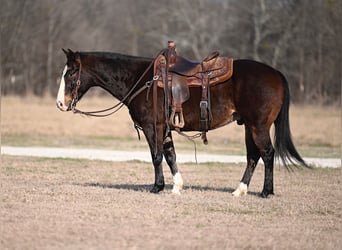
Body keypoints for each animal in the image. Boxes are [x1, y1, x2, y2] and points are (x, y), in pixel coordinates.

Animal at [56, 48, 310, 197]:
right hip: (250, 126)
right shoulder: (165, 128)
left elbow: (156, 156)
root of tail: (276, 74)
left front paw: (157, 186)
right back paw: (240, 190)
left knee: (267, 154)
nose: (60, 103)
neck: (143, 80)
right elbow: (170, 156)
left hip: (258, 126)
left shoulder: (152, 127)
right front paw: (177, 186)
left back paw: (266, 191)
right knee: (253, 156)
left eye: (72, 72)